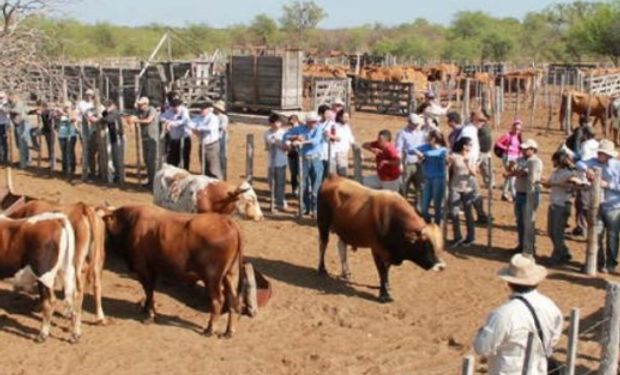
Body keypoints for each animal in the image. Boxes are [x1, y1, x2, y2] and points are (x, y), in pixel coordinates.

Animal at [0, 213, 78, 342]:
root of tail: (56, 218)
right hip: (67, 270)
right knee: (72, 299)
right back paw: (76, 334)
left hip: (44, 275)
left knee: (49, 302)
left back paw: (42, 334)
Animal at [99, 207, 242, 340]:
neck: (130, 224)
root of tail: (227, 221)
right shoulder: (153, 270)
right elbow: (149, 292)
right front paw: (146, 308)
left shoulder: (144, 270)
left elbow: (149, 291)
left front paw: (150, 315)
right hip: (230, 275)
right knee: (233, 300)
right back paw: (229, 331)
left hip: (212, 277)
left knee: (218, 300)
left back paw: (210, 329)